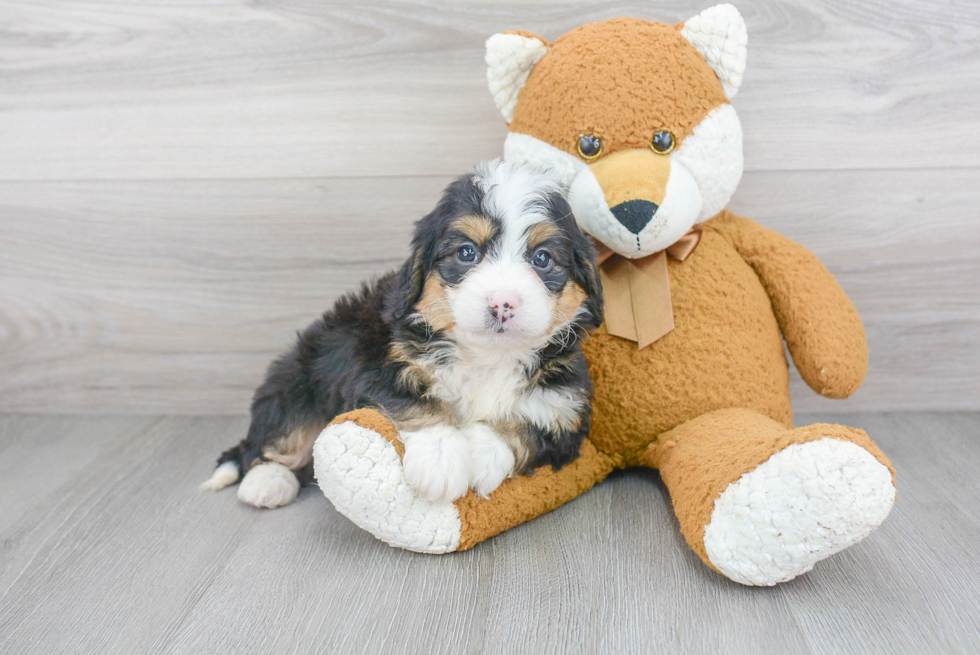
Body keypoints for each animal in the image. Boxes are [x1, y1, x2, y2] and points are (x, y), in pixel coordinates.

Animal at [205, 161, 604, 510]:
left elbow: (526, 426)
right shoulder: (377, 363)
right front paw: (440, 459)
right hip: (298, 377)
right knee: (278, 437)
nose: (502, 302)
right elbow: (414, 401)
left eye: (542, 259)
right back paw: (267, 483)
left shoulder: (566, 409)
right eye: (466, 253)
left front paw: (478, 453)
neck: (487, 357)